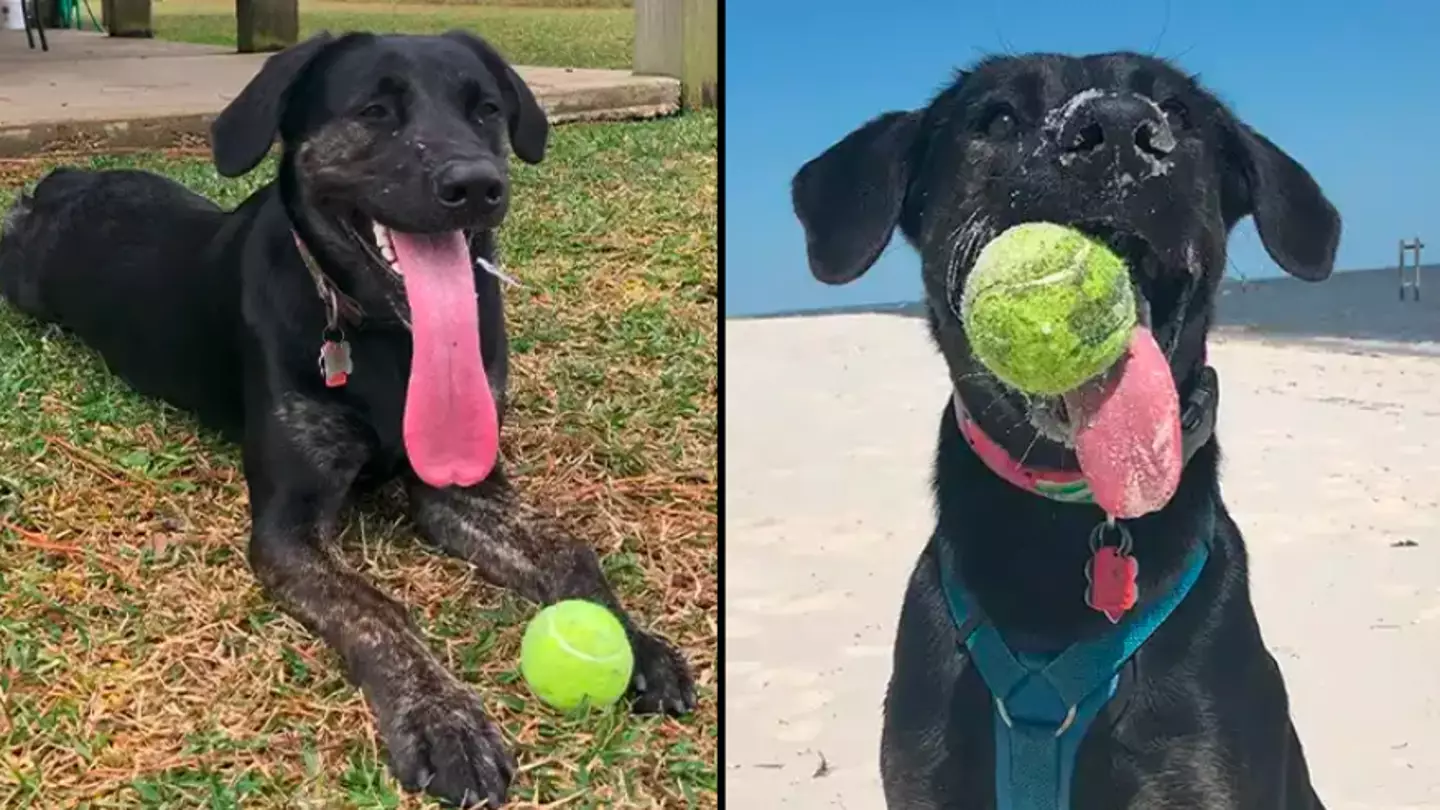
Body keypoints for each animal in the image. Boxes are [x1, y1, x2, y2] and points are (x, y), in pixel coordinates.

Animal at [0, 28, 696, 801]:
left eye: (486, 109)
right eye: (375, 110)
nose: (477, 185)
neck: (392, 339)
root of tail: (65, 179)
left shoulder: (462, 486)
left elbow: (571, 551)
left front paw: (637, 643)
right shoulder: (289, 529)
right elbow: (376, 610)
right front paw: (443, 717)